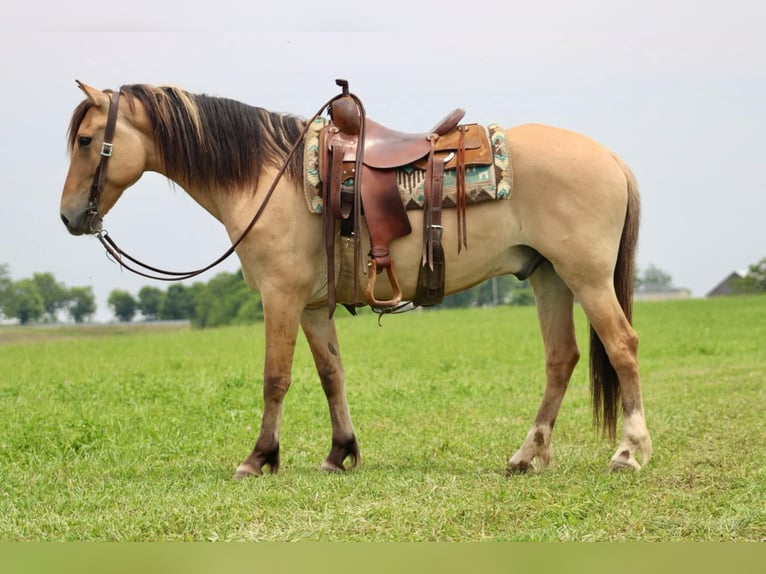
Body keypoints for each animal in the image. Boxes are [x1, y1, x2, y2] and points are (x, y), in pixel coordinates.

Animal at [60, 80, 656, 476]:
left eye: (87, 140)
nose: (69, 217)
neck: (266, 176)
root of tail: (610, 156)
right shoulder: (310, 306)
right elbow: (331, 375)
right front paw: (340, 452)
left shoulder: (280, 297)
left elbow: (275, 377)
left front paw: (260, 458)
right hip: (548, 277)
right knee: (561, 359)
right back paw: (528, 455)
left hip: (586, 278)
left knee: (623, 346)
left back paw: (629, 452)